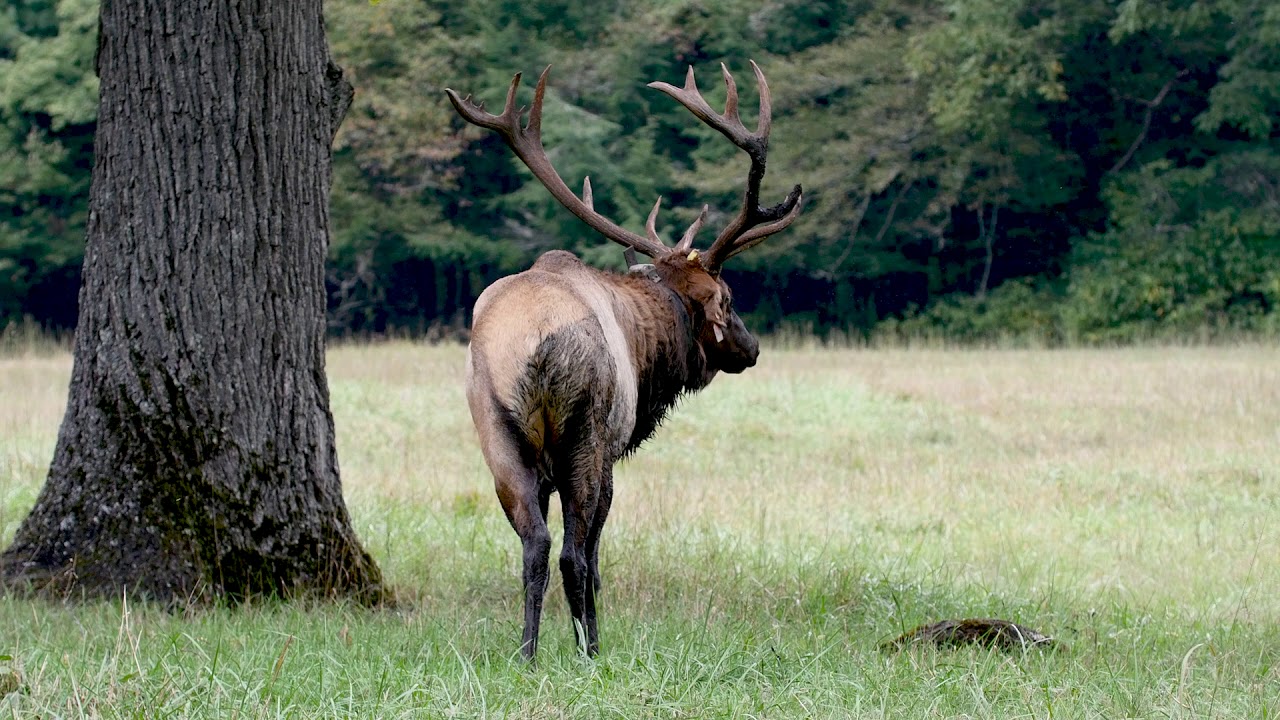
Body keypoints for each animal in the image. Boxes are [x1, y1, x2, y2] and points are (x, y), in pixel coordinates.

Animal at [446, 61, 802, 661]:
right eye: (728, 299)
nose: (752, 348)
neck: (644, 348)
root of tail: (537, 342)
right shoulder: (612, 450)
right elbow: (593, 559)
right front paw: (591, 637)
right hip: (586, 433)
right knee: (573, 555)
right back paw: (589, 651)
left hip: (496, 429)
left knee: (534, 545)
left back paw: (527, 653)